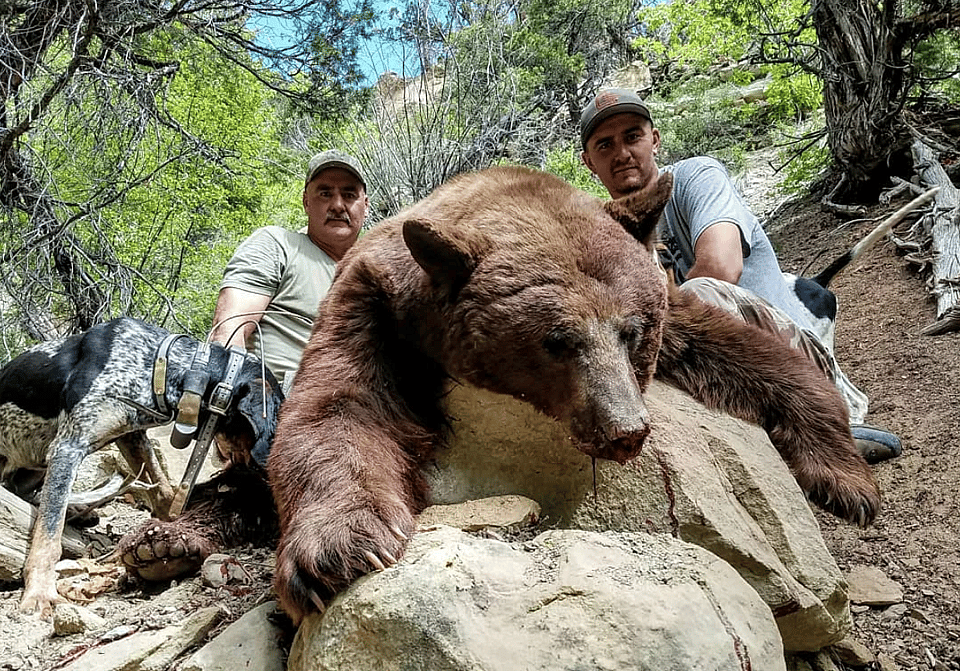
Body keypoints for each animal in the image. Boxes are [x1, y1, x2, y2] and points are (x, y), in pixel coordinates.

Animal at [267, 166, 881, 624]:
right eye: (558, 340)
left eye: (632, 331)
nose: (626, 431)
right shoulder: (373, 304)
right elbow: (338, 405)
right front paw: (340, 548)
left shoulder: (668, 303)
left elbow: (745, 352)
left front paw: (846, 481)